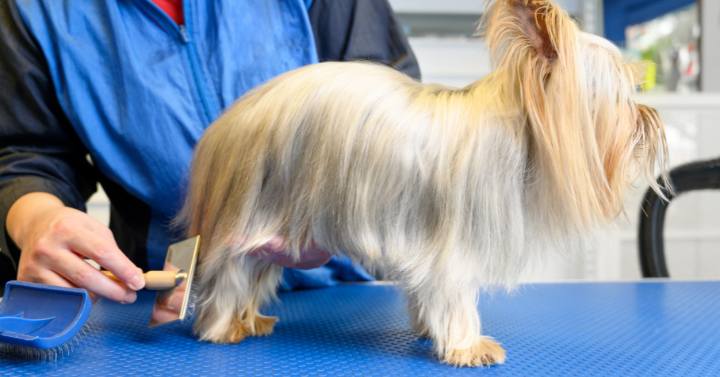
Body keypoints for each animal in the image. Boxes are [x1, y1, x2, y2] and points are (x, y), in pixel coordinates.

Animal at [179, 0, 668, 366]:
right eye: (621, 96)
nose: (651, 119)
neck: (522, 132)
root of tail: (226, 125)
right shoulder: (453, 249)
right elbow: (455, 297)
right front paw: (469, 346)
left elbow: (424, 295)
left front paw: (430, 331)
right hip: (255, 212)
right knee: (229, 274)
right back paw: (223, 327)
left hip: (280, 226)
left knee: (253, 273)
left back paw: (250, 320)